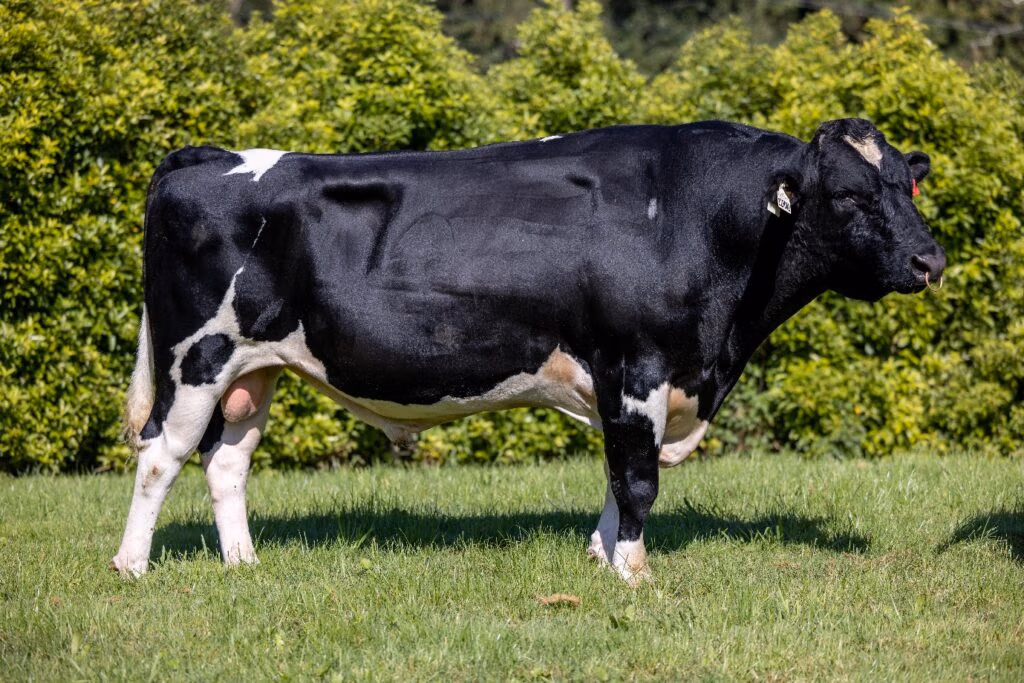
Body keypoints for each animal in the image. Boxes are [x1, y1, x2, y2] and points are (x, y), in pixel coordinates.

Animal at [112, 118, 945, 584]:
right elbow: (638, 479)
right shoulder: (638, 365)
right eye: (847, 195)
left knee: (225, 462)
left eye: (906, 185)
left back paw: (243, 564)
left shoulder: (631, 379)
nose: (930, 260)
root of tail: (207, 155)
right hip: (197, 356)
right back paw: (132, 565)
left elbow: (616, 471)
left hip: (257, 370)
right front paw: (634, 574)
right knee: (160, 455)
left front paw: (601, 558)